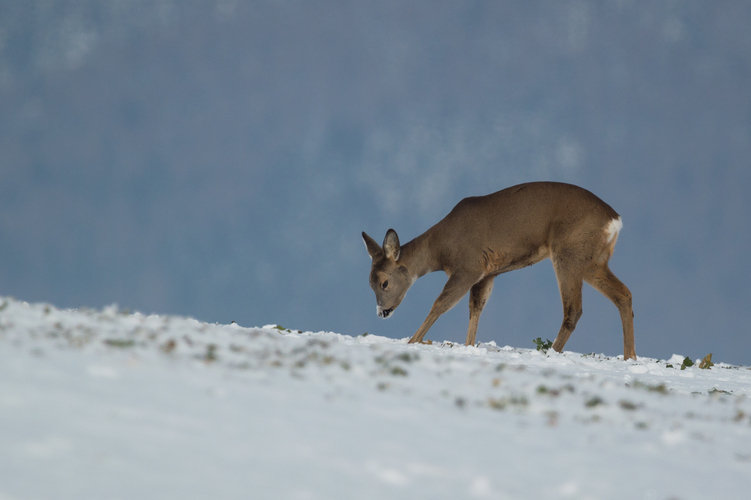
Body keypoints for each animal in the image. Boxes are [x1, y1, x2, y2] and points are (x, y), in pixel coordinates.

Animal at [362, 182, 636, 362]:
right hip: (593, 262)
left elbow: (440, 304)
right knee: (624, 294)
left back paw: (551, 352)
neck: (440, 250)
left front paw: (413, 341)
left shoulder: (468, 266)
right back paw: (630, 356)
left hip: (569, 252)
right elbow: (475, 308)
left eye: (384, 282)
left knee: (574, 309)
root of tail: (615, 220)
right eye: (369, 284)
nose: (382, 312)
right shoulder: (487, 274)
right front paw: (468, 345)